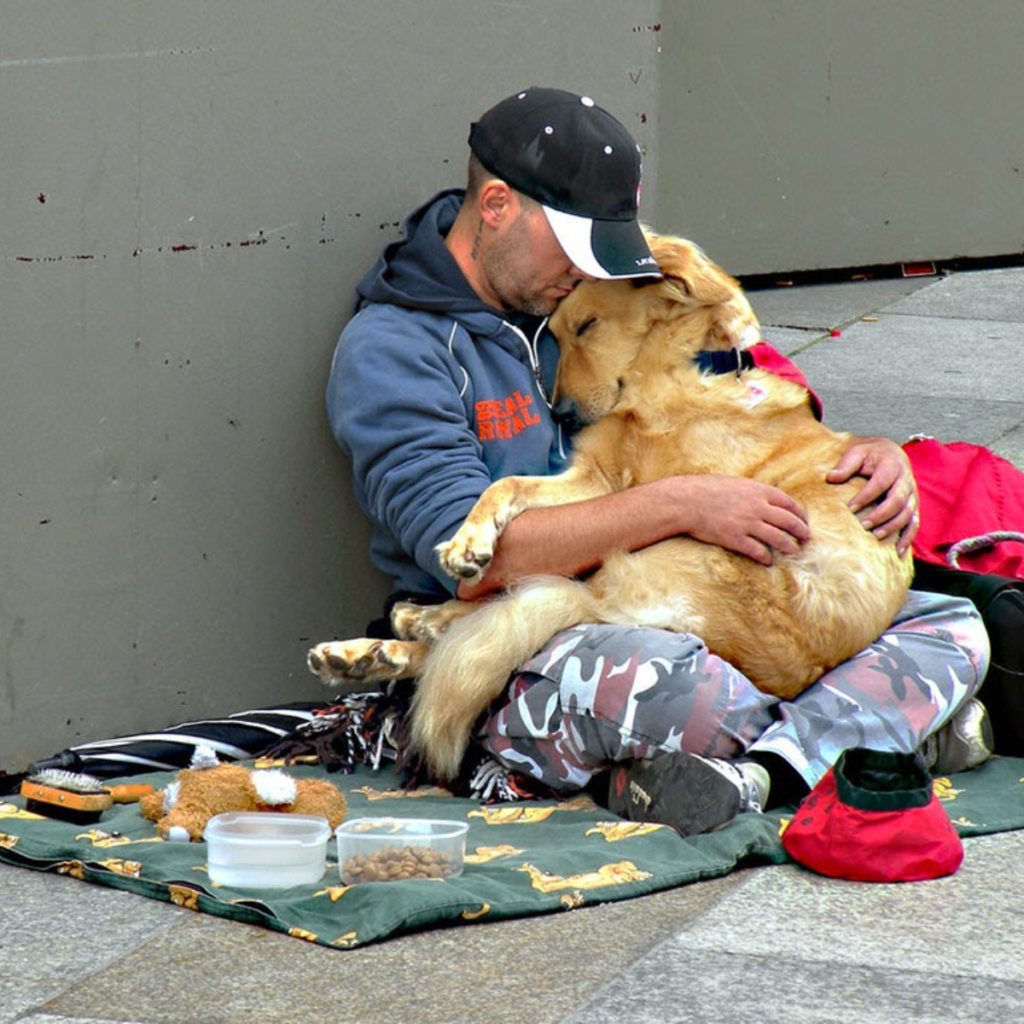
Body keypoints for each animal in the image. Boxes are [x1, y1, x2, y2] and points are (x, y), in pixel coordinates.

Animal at [305, 234, 913, 774]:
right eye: (553, 331)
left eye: (587, 325)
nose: (563, 414)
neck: (672, 370)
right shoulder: (596, 478)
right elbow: (505, 487)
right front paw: (468, 540)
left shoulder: (622, 485)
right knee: (482, 625)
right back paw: (371, 648)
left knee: (486, 624)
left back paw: (401, 632)